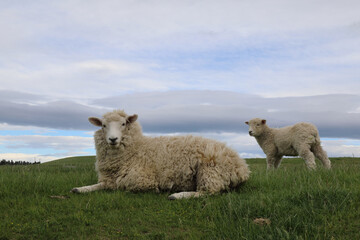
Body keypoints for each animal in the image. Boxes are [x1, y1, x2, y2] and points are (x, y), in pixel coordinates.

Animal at [71, 109, 249, 200]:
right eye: (103, 125)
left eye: (123, 124)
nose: (113, 139)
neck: (137, 149)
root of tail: (242, 167)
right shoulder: (108, 179)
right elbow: (98, 185)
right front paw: (80, 189)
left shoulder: (142, 178)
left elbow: (127, 187)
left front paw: (155, 190)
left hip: (210, 170)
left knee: (208, 192)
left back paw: (178, 195)